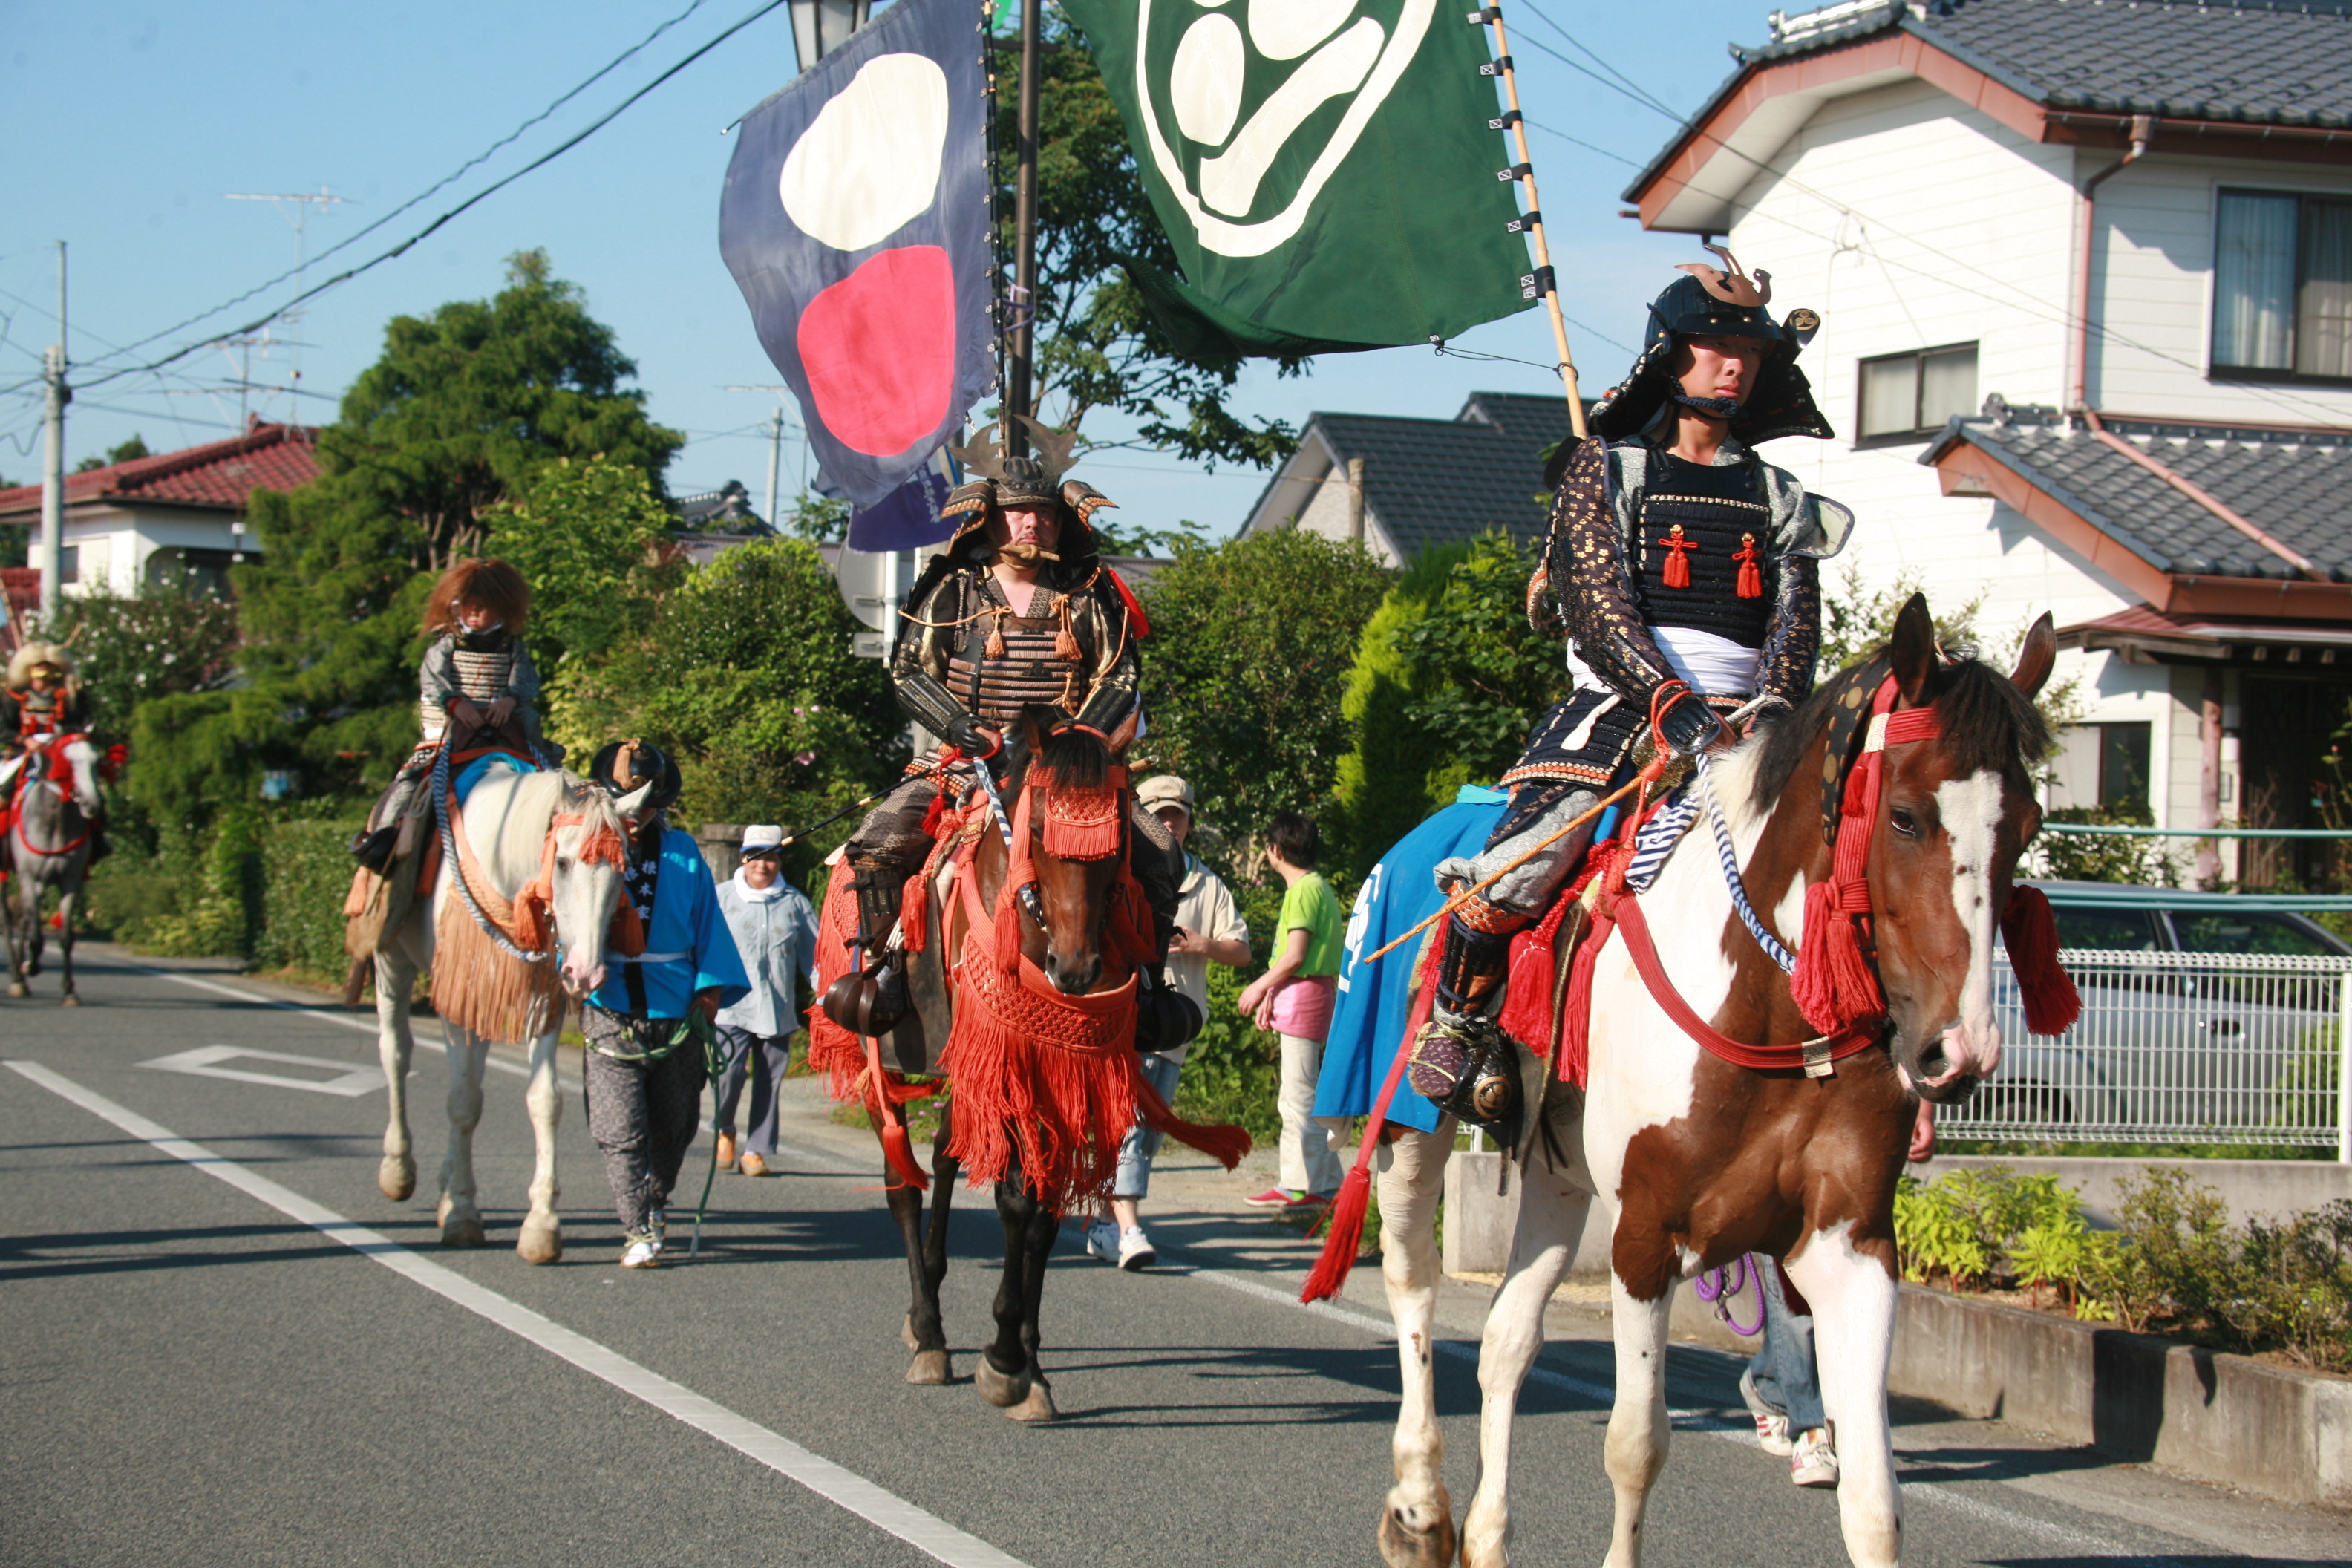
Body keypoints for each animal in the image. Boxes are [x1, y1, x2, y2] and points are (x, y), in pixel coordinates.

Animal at [2, 733, 105, 1006]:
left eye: (96, 760)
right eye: (67, 763)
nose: (93, 802)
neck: (56, 823)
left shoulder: (70, 882)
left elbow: (66, 937)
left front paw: (69, 990)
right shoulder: (33, 881)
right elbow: (37, 938)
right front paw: (31, 967)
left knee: (23, 920)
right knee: (9, 920)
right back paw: (17, 976)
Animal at [362, 761, 635, 1260]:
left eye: (622, 869)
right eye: (563, 862)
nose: (587, 972)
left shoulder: (541, 998)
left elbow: (544, 1101)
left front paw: (541, 1225)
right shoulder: (458, 996)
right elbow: (463, 1101)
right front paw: (462, 1213)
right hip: (390, 958)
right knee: (396, 1053)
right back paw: (399, 1169)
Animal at [814, 710, 1241, 1420]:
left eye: (1120, 836)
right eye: (1037, 829)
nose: (1076, 968)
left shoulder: (1068, 1066)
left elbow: (1042, 1211)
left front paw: (1029, 1366)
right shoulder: (1010, 1058)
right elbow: (1015, 1200)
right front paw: (1005, 1361)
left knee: (946, 1155)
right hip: (885, 1050)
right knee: (903, 1181)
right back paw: (928, 1333)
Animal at [1373, 601, 2051, 1568]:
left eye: (2025, 825)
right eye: (1907, 817)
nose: (1960, 1051)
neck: (1770, 1008)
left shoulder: (1850, 1244)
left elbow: (1874, 1499)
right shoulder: (1646, 1236)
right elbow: (1636, 1447)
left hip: (1556, 1171)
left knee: (1507, 1336)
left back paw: (1487, 1536)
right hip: (1405, 1127)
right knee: (1414, 1286)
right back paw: (1420, 1508)